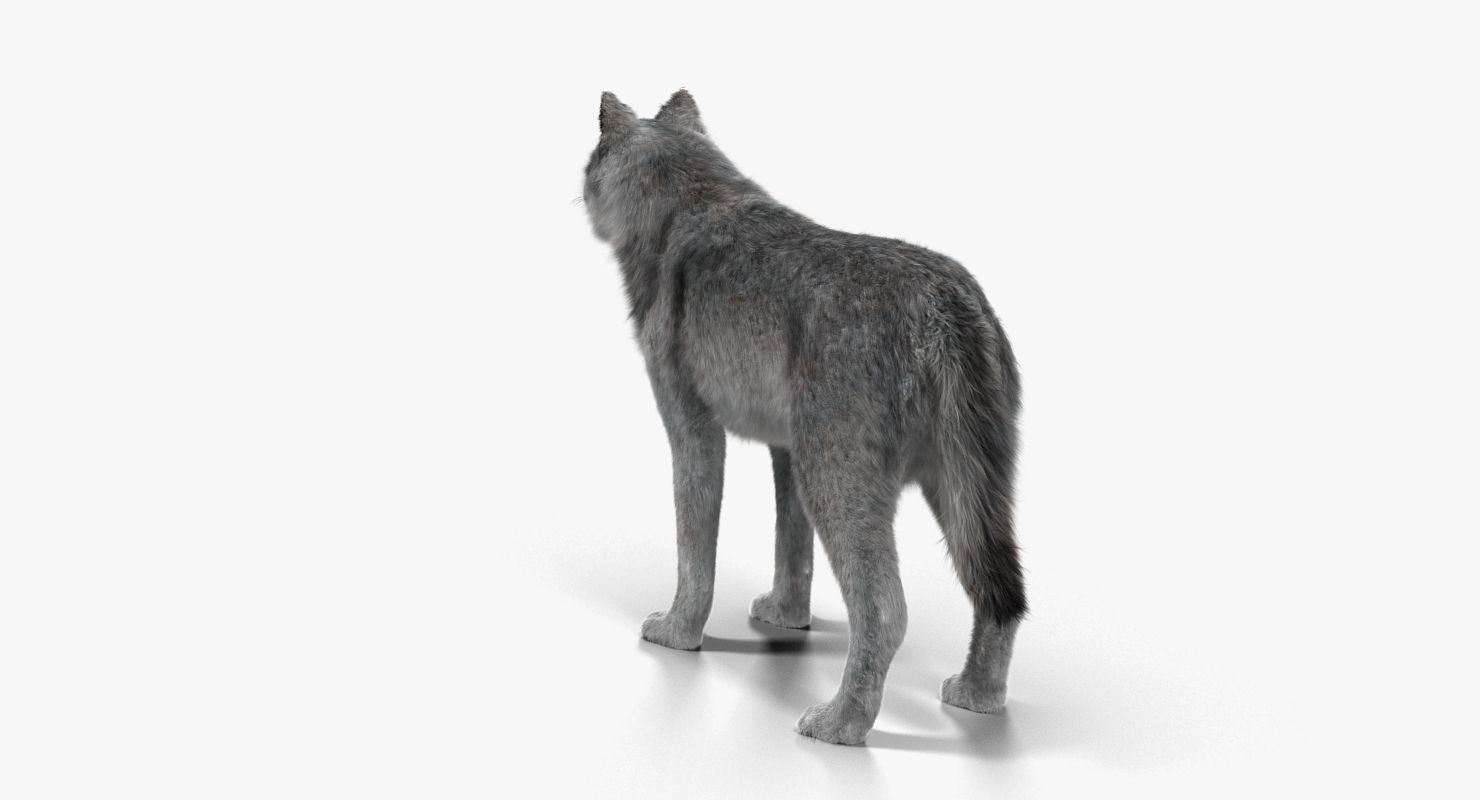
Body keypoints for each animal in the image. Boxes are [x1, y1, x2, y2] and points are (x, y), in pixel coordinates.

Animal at [583, 90, 1026, 746]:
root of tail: (943, 301)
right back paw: (977, 698)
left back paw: (839, 724)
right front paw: (785, 617)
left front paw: (678, 632)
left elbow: (695, 546)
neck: (693, 197)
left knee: (886, 610)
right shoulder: (787, 449)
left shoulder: (693, 429)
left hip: (841, 481)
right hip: (964, 490)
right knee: (1001, 596)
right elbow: (790, 545)